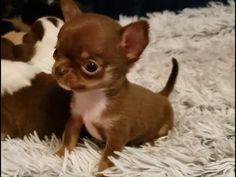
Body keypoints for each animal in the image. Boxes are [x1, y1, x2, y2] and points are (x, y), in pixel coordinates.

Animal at [53, 0, 179, 175]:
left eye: (91, 66)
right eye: (55, 51)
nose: (60, 70)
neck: (93, 96)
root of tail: (162, 95)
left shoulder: (117, 135)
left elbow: (108, 157)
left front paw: (102, 173)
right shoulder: (75, 119)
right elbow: (69, 139)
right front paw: (60, 154)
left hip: (164, 127)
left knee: (160, 135)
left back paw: (149, 142)